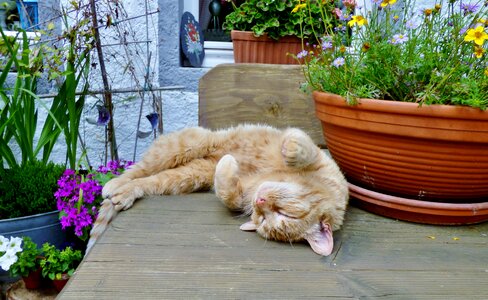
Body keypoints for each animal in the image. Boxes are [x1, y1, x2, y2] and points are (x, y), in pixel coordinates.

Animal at [86, 123, 346, 255]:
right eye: (286, 214)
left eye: (267, 218)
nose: (260, 201)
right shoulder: (316, 155)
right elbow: (301, 145)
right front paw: (290, 151)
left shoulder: (240, 194)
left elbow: (228, 193)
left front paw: (228, 166)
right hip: (185, 145)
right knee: (139, 168)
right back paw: (113, 184)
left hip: (185, 176)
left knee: (148, 181)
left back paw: (123, 194)